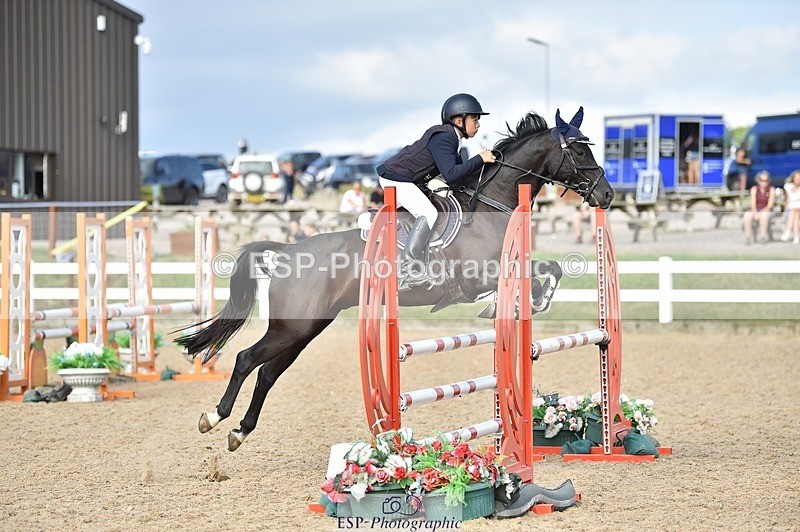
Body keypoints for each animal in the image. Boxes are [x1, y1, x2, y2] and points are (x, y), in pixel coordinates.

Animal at [176, 107, 615, 451]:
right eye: (579, 150)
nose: (607, 195)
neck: (491, 204)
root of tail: (287, 251)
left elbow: (551, 268)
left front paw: (531, 303)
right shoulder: (480, 276)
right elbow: (535, 274)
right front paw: (522, 303)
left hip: (305, 329)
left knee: (266, 373)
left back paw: (239, 432)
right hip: (292, 327)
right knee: (245, 359)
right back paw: (214, 418)